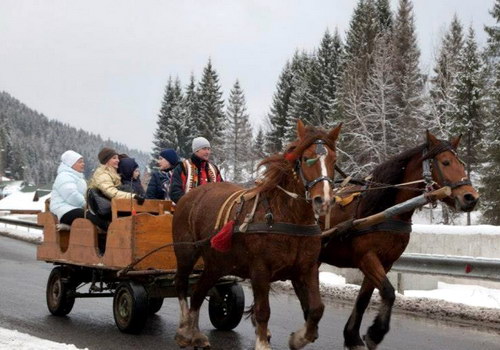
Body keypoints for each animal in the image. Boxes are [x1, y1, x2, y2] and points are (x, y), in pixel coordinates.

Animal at [174, 121, 342, 350]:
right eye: (307, 158)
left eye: (334, 160)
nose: (323, 200)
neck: (290, 218)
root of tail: (191, 195)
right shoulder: (260, 270)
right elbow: (263, 311)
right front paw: (262, 342)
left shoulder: (306, 269)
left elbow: (316, 308)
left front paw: (300, 338)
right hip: (186, 253)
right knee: (182, 286)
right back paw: (184, 329)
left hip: (216, 263)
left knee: (199, 291)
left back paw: (195, 332)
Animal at [318, 131, 478, 350]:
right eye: (445, 162)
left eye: (461, 163)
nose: (471, 197)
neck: (385, 212)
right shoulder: (367, 257)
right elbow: (388, 292)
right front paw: (375, 333)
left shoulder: (385, 262)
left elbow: (364, 299)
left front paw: (353, 336)